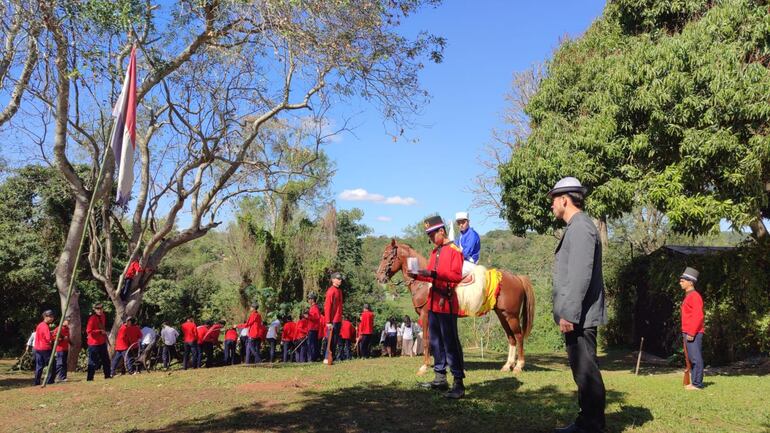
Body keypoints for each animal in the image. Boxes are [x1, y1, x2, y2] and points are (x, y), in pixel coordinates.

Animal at [374, 238, 536, 372]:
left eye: (386, 257)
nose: (379, 277)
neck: (426, 283)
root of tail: (516, 277)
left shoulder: (426, 316)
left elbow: (427, 340)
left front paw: (425, 366)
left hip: (511, 316)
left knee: (519, 336)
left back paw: (519, 366)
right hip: (503, 315)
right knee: (511, 337)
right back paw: (508, 365)